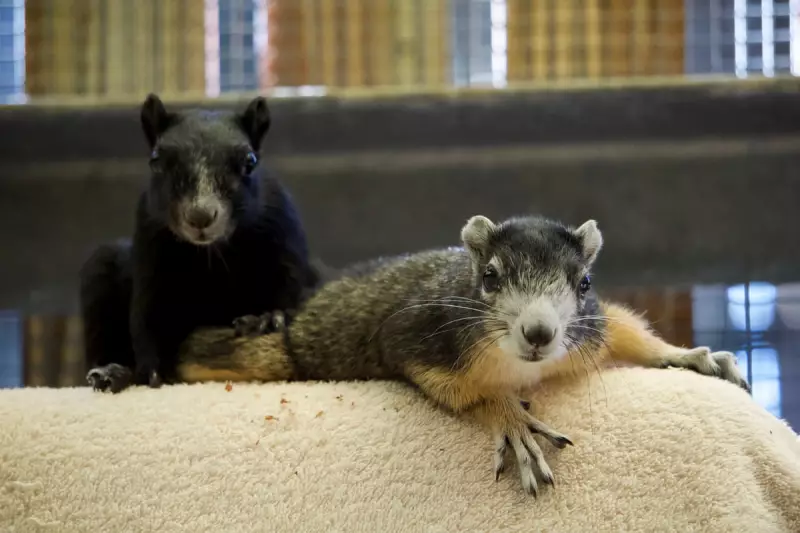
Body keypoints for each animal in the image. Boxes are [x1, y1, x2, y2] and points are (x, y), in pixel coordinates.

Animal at [80, 93, 320, 394]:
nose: (200, 216)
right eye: (155, 160)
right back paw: (113, 372)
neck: (210, 253)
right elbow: (148, 318)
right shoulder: (150, 246)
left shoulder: (284, 234)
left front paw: (268, 317)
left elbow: (290, 291)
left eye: (250, 161)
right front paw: (151, 370)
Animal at [173, 214, 750, 497]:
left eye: (584, 282)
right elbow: (463, 390)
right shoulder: (422, 341)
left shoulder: (588, 331)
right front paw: (511, 420)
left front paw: (691, 356)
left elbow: (627, 330)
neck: (521, 364)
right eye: (490, 276)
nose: (540, 332)